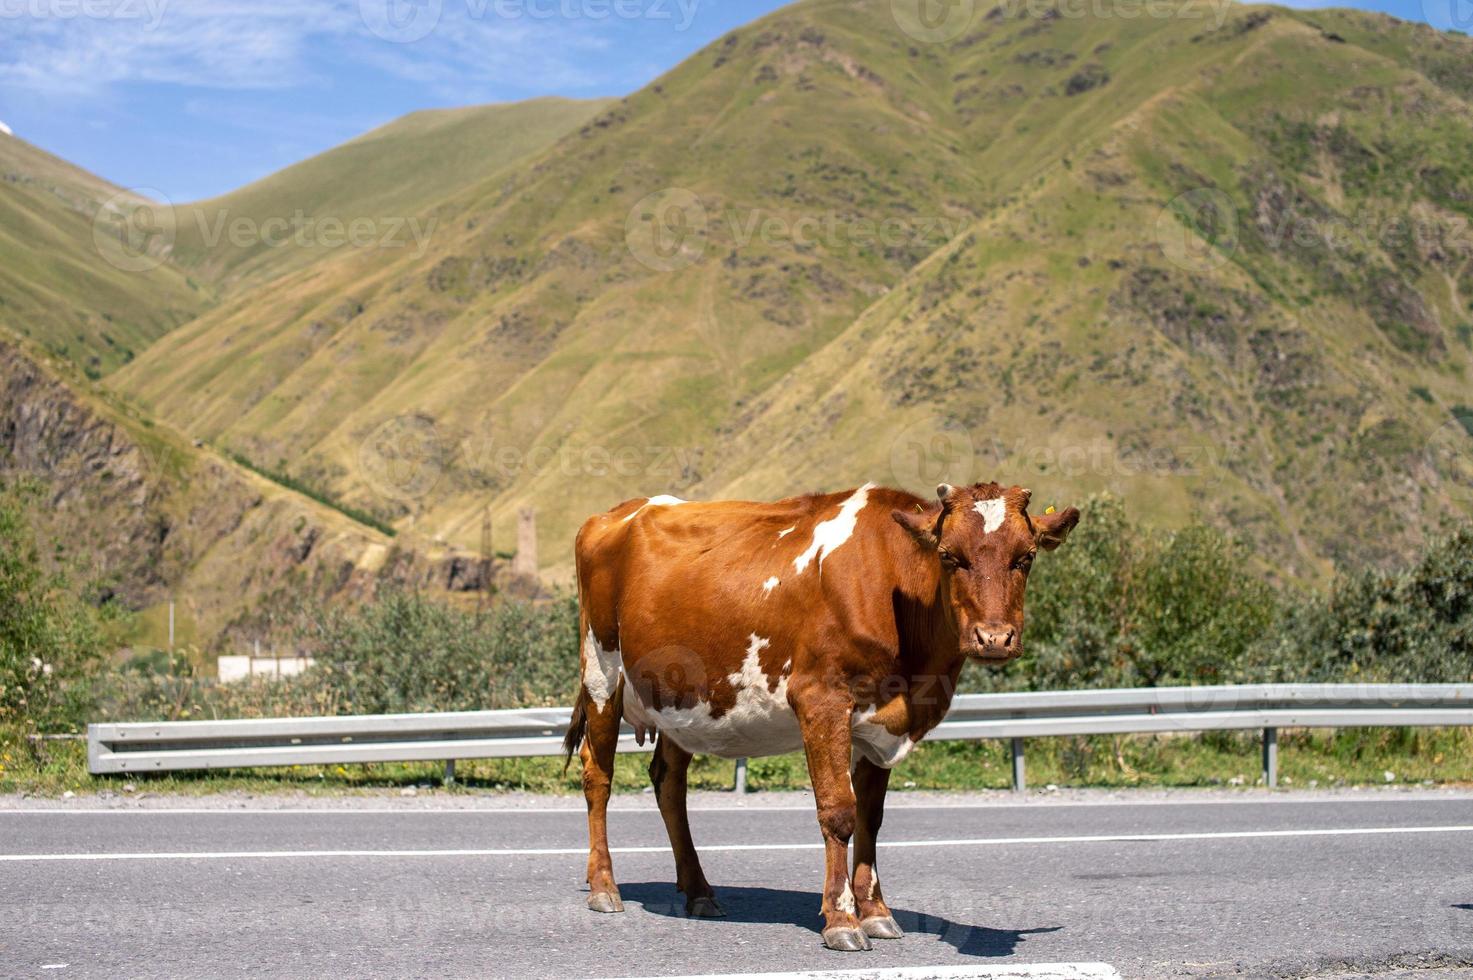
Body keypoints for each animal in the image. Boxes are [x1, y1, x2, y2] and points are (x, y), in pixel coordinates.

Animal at [562, 480, 1084, 949]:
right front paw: (842, 919)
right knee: (598, 775)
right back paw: (605, 887)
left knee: (669, 782)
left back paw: (699, 892)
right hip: (602, 670)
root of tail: (617, 512)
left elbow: (871, 815)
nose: (994, 638)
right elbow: (839, 811)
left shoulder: (879, 723)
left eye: (1026, 557)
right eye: (950, 556)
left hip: (681, 701)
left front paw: (876, 911)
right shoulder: (821, 701)